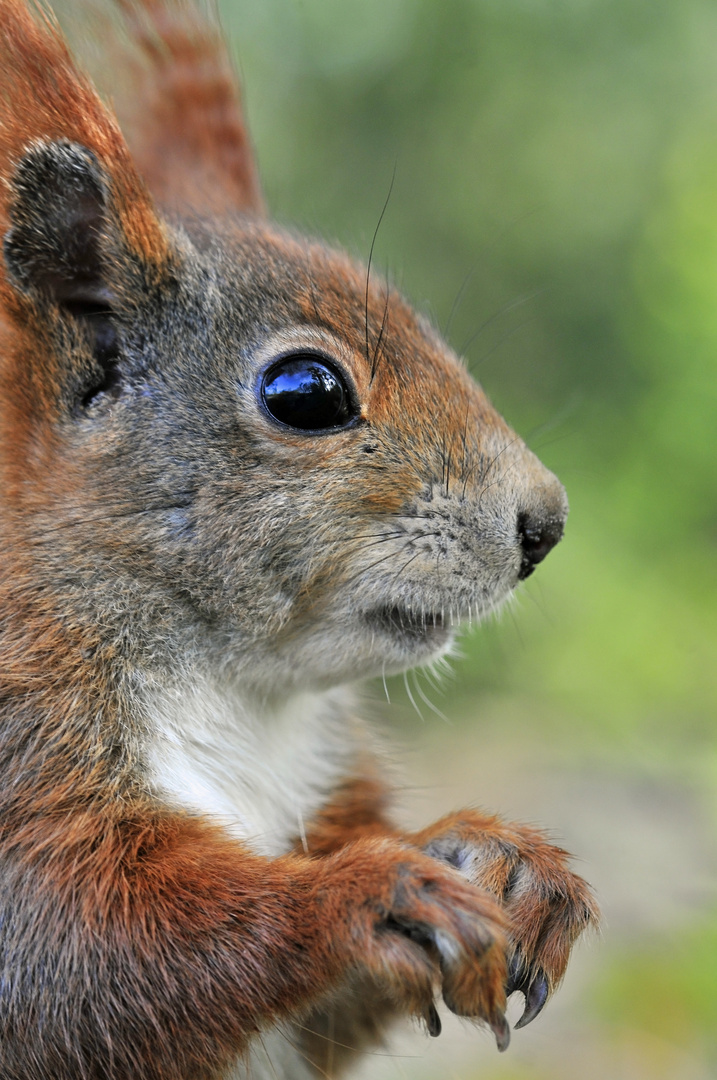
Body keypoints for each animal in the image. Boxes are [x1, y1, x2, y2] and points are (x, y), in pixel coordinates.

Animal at [0, 2, 596, 1080]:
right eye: (306, 393)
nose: (545, 522)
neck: (239, 691)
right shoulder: (21, 763)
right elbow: (77, 959)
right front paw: (365, 895)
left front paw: (501, 857)